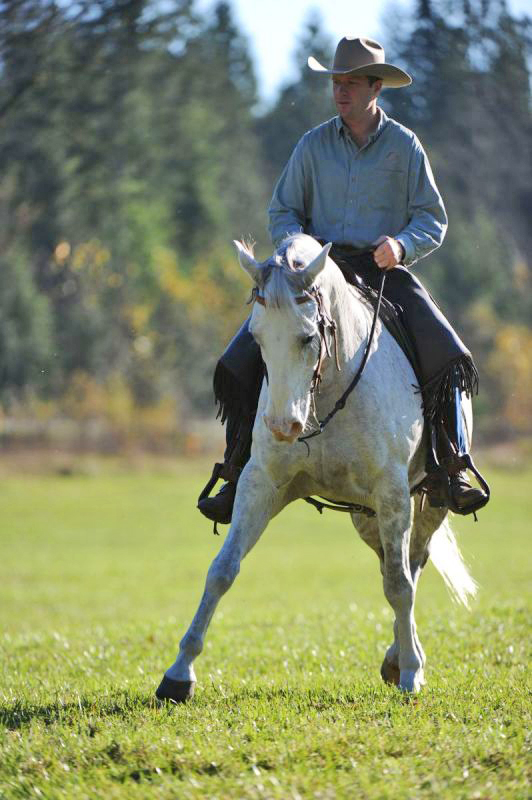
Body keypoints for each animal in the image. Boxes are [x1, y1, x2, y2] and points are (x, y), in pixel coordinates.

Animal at [156, 233, 476, 701]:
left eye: (308, 337)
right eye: (257, 337)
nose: (283, 425)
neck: (327, 394)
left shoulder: (394, 494)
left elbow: (399, 586)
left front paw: (411, 675)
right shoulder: (260, 485)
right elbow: (222, 570)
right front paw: (178, 674)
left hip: (426, 502)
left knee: (411, 564)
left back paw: (403, 657)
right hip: (366, 516)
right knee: (390, 561)